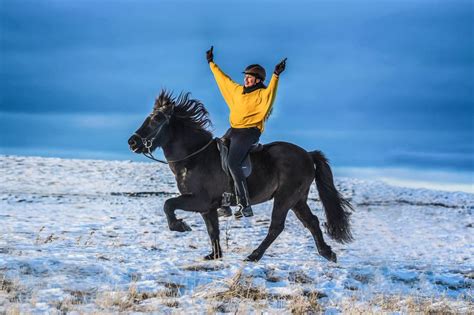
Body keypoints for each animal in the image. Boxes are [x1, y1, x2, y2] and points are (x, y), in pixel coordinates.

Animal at [127, 92, 352, 264]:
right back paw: (327, 253)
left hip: (285, 198)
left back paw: (254, 256)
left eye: (157, 119)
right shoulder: (208, 207)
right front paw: (215, 255)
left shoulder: (199, 200)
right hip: (297, 199)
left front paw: (179, 226)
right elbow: (213, 230)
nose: (132, 142)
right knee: (311, 222)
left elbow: (168, 204)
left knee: (276, 226)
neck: (194, 158)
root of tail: (308, 154)